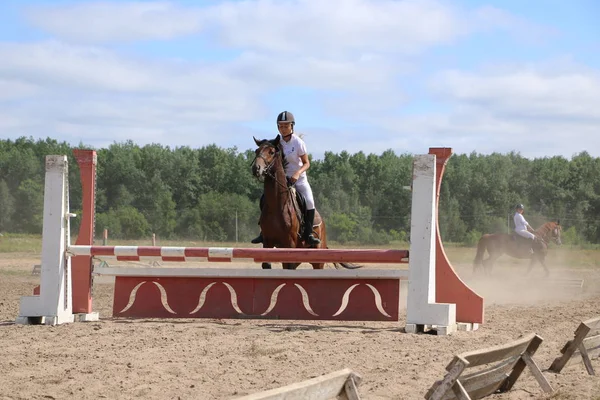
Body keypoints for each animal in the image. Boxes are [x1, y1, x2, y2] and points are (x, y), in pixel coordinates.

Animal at [251, 136, 358, 270]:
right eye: (256, 151)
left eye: (271, 152)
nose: (256, 169)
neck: (277, 205)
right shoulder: (268, 241)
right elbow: (267, 264)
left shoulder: (289, 243)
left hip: (317, 259)